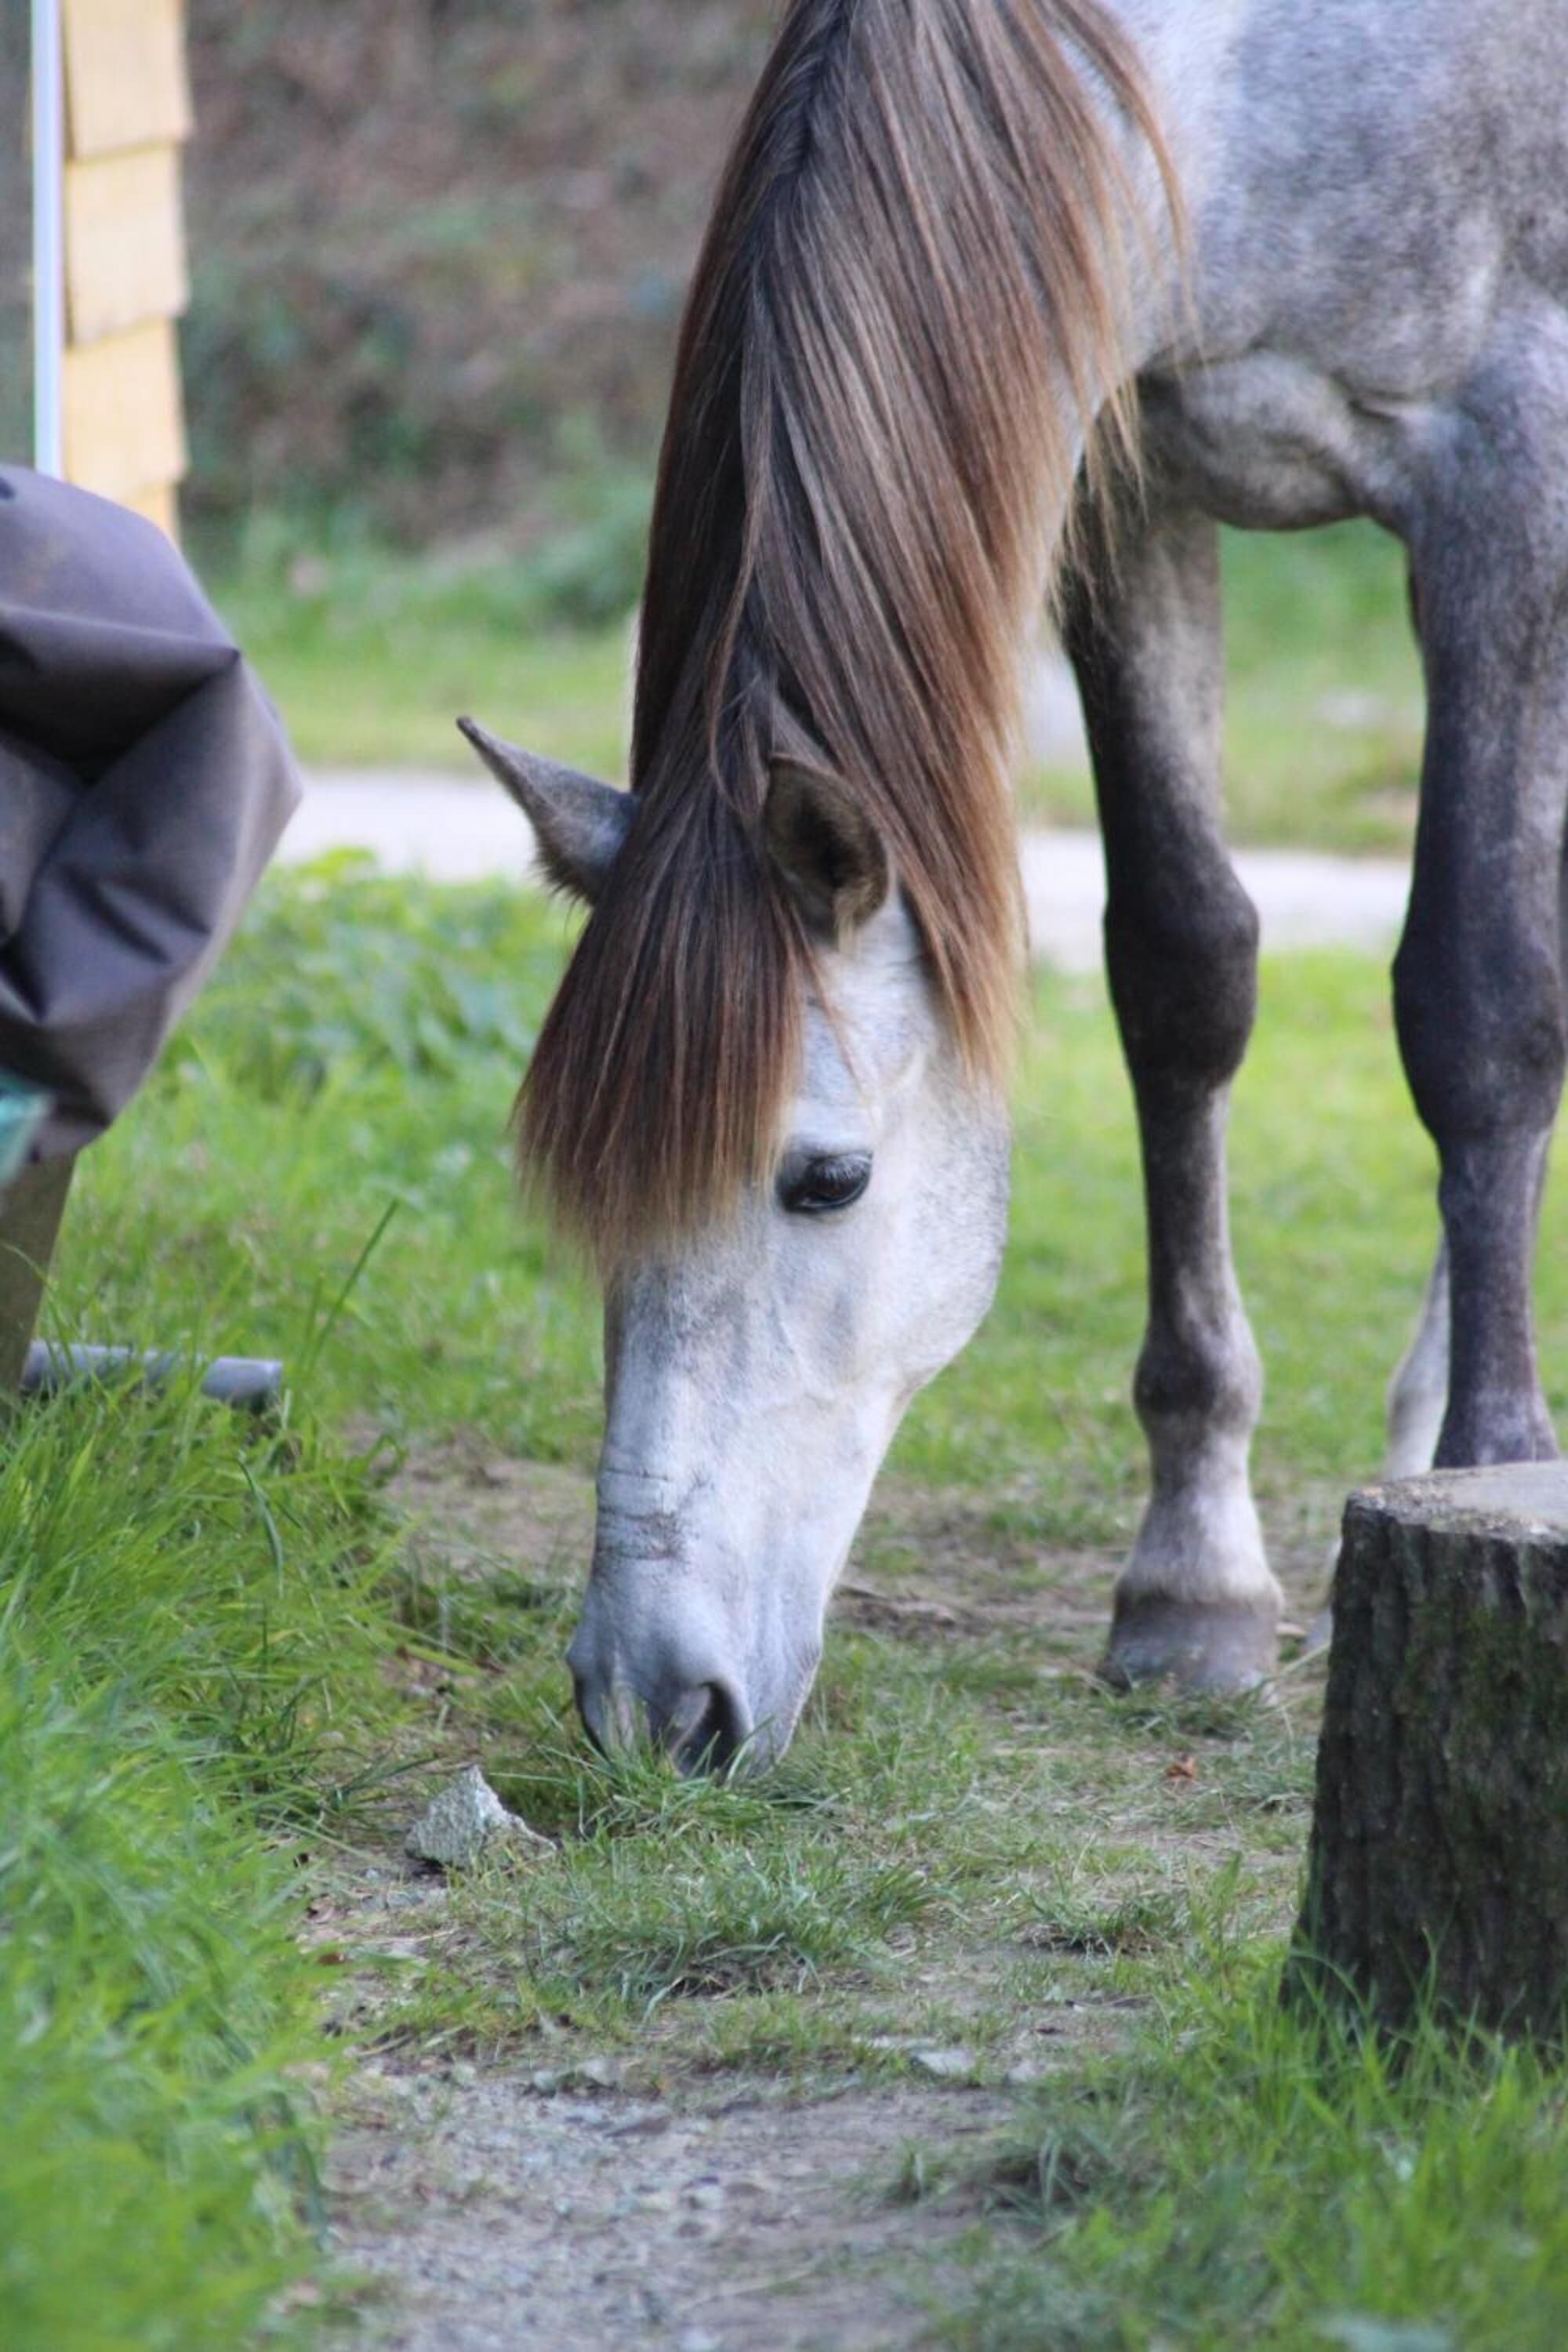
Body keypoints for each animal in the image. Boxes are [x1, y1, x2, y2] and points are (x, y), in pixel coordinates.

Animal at [461, 0, 1568, 1767]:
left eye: (824, 1180)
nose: (652, 1705)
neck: (1263, 67)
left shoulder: (1502, 469)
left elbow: (1478, 1006)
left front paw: (1492, 1466)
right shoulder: (1131, 473)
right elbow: (1184, 972)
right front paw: (1192, 1579)